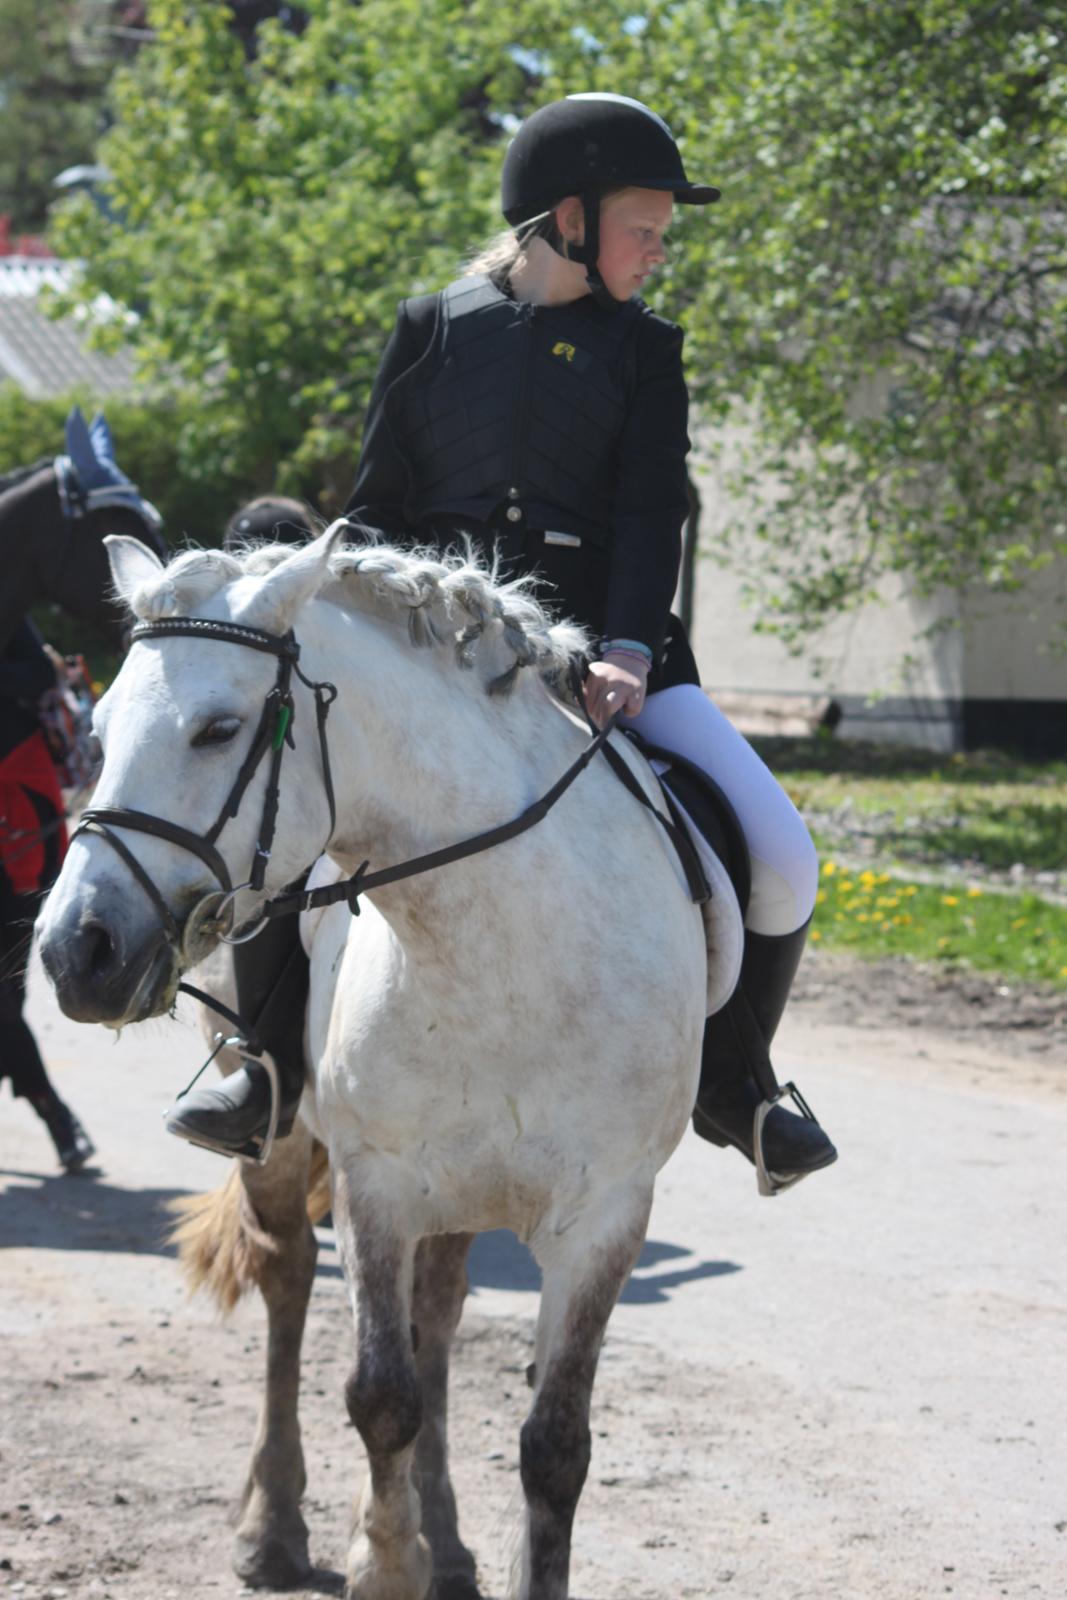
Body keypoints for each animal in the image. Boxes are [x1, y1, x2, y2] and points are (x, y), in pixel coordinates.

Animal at [37, 534, 729, 1600]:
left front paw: (436, 1547)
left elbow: (553, 1445)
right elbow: (380, 1395)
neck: (503, 952)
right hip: (287, 1145)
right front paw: (384, 1560)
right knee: (287, 1282)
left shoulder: (606, 1216)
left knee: (438, 1319)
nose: (78, 951)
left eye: (219, 730)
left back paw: (446, 1543)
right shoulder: (380, 1186)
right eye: (99, 732)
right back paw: (275, 1529)